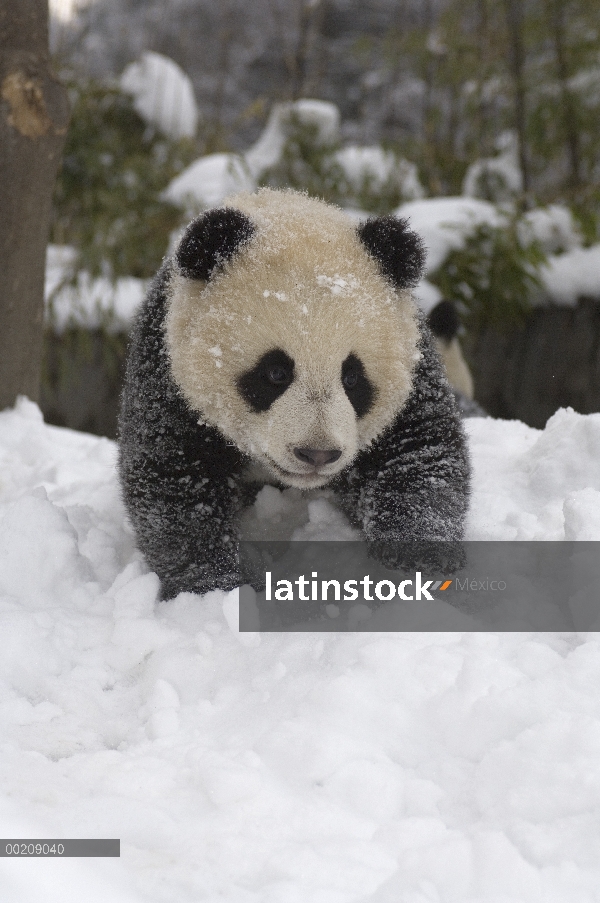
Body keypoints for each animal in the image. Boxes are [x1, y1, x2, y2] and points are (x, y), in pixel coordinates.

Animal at [119, 189, 472, 600]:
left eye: (352, 377)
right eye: (275, 372)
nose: (317, 454)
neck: (288, 214)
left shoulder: (413, 362)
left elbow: (419, 448)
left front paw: (421, 555)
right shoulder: (166, 373)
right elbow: (175, 478)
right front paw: (216, 585)